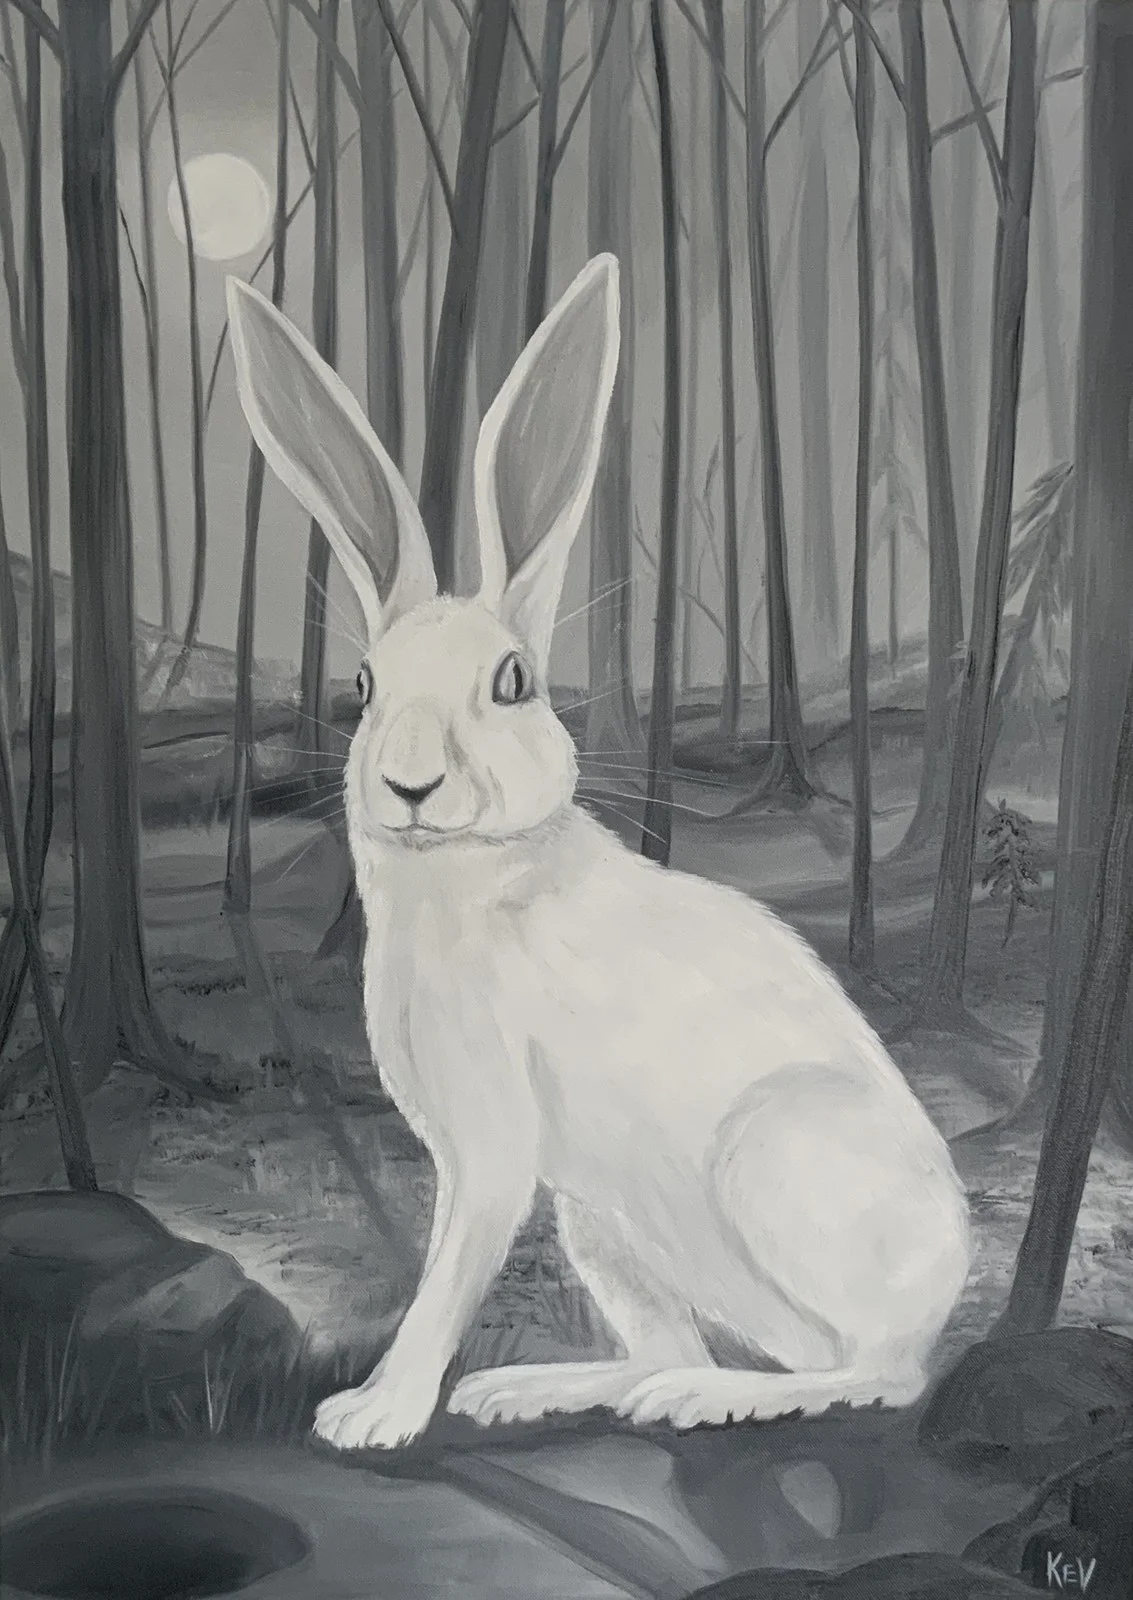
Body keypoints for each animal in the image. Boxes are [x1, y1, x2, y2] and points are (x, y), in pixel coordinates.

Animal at [227, 254, 972, 1453]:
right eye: (365, 686)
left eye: (513, 681)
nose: (410, 784)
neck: (471, 881)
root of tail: (947, 1278)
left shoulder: (490, 1155)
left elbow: (446, 1278)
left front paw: (373, 1415)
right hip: (605, 1224)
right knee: (679, 1345)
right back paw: (540, 1389)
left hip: (773, 1160)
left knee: (871, 1372)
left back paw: (712, 1398)